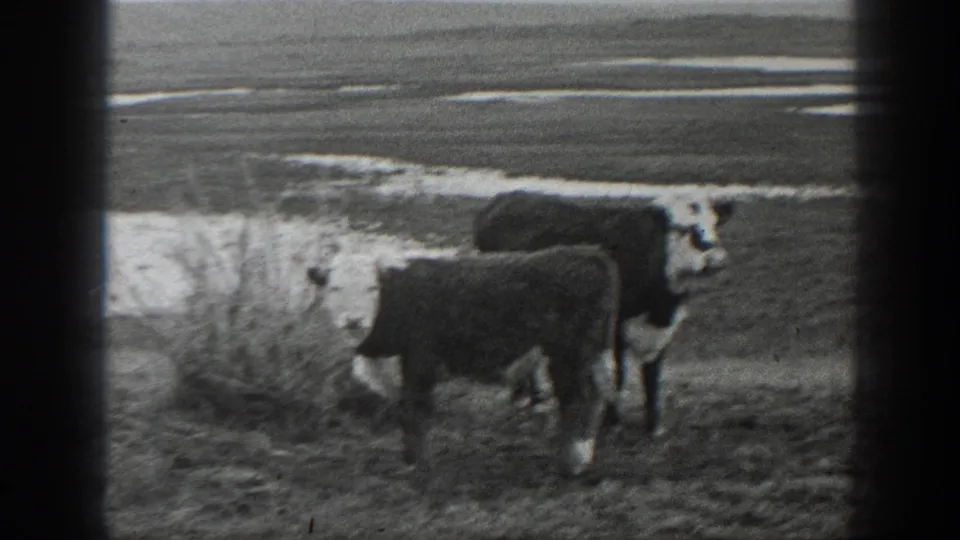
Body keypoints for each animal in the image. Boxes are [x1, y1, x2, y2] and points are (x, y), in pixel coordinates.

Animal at [311, 245, 622, 478]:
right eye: (334, 288)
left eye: (371, 288)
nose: (353, 320)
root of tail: (587, 253)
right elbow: (404, 409)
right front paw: (410, 458)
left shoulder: (421, 362)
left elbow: (416, 411)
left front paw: (418, 465)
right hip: (591, 354)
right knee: (595, 398)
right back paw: (582, 456)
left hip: (569, 353)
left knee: (577, 399)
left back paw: (571, 463)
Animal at [473, 190, 735, 438]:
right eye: (681, 228)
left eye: (714, 223)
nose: (716, 258)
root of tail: (505, 198)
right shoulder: (615, 327)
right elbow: (618, 375)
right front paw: (612, 421)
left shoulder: (662, 334)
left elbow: (652, 377)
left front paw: (654, 426)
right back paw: (521, 396)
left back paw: (536, 397)